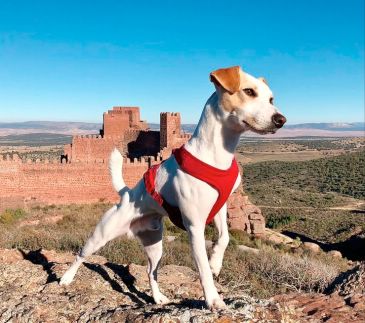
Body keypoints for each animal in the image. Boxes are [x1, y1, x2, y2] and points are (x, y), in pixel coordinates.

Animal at [59, 66, 286, 312]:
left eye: (271, 99)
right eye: (249, 91)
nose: (281, 119)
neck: (217, 155)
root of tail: (126, 193)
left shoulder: (220, 206)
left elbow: (224, 237)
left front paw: (216, 263)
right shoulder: (195, 225)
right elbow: (202, 270)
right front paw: (213, 299)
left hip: (155, 246)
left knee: (151, 272)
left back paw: (158, 298)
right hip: (102, 234)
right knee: (81, 254)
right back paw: (66, 278)